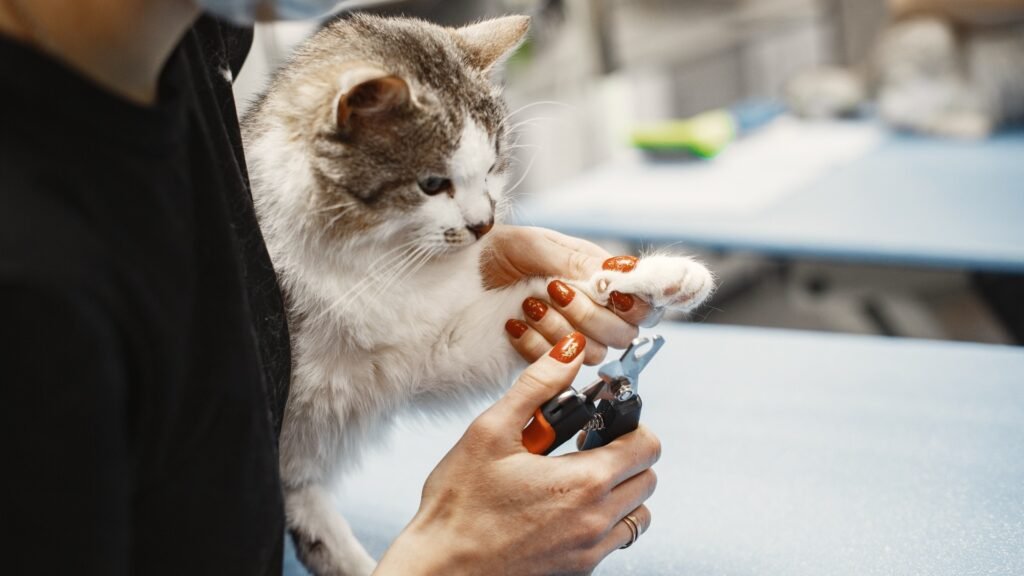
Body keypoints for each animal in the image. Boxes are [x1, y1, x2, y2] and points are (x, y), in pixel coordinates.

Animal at [243, 13, 716, 573]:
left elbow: (555, 293)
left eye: (492, 167)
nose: (486, 225)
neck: (375, 263)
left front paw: (646, 277)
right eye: (431, 184)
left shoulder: (438, 343)